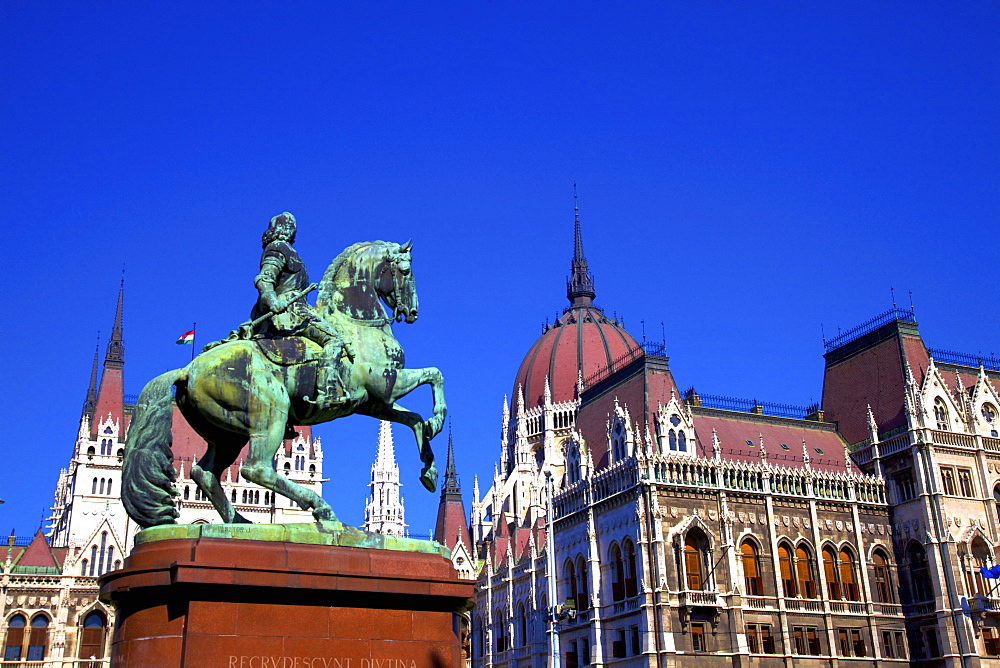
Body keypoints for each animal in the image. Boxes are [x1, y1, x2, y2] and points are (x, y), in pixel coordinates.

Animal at [121, 240, 446, 528]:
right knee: (256, 468)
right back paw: (318, 509)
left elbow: (415, 419)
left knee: (205, 473)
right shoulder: (386, 385)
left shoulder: (374, 403)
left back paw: (239, 521)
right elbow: (435, 374)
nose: (413, 312)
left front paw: (429, 469)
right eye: (406, 270)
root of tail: (188, 369)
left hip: (226, 433)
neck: (354, 323)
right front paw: (439, 419)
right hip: (271, 412)